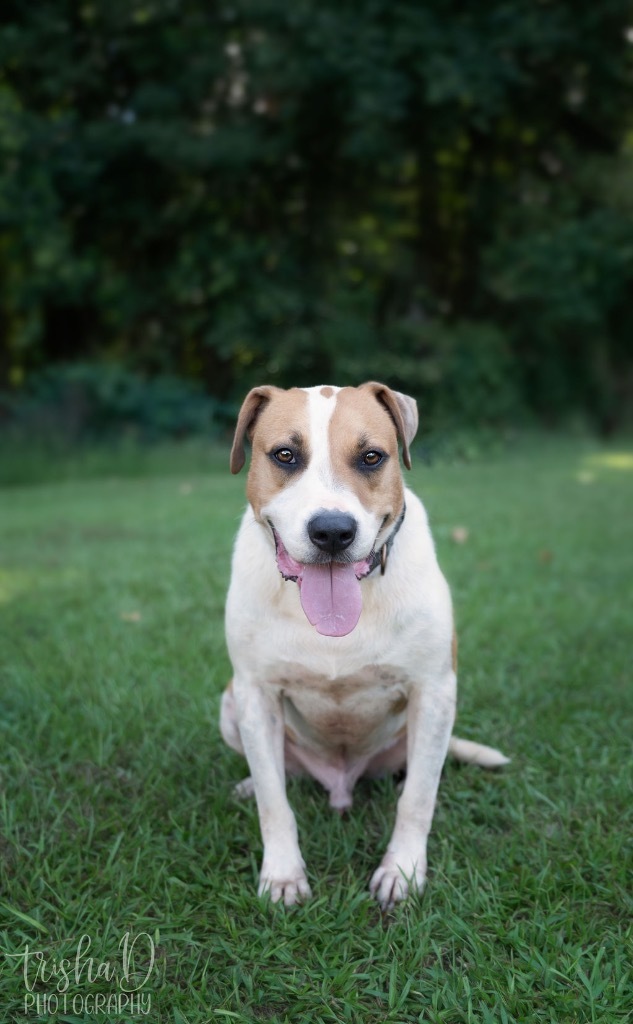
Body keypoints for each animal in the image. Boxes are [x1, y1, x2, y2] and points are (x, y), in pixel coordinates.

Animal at [222, 382, 508, 905]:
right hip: (229, 703)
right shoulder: (254, 693)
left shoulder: (434, 691)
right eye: (285, 455)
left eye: (372, 457)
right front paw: (283, 874)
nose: (333, 531)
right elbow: (275, 802)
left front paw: (403, 871)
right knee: (278, 772)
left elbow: (418, 799)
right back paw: (250, 784)